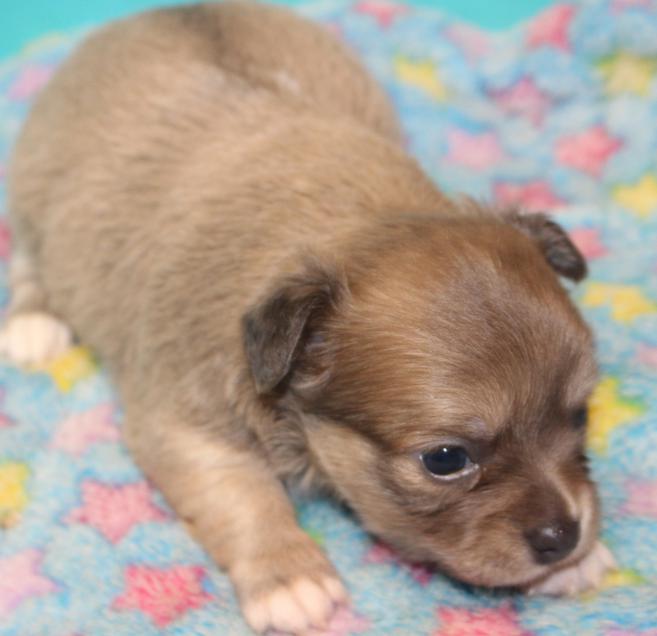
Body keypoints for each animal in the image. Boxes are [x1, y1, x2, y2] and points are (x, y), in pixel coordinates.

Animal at [2, 2, 612, 632]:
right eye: (446, 460)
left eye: (580, 415)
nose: (563, 537)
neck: (356, 223)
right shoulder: (189, 428)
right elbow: (245, 497)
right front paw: (289, 577)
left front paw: (576, 563)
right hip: (35, 206)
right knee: (29, 262)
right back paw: (33, 325)